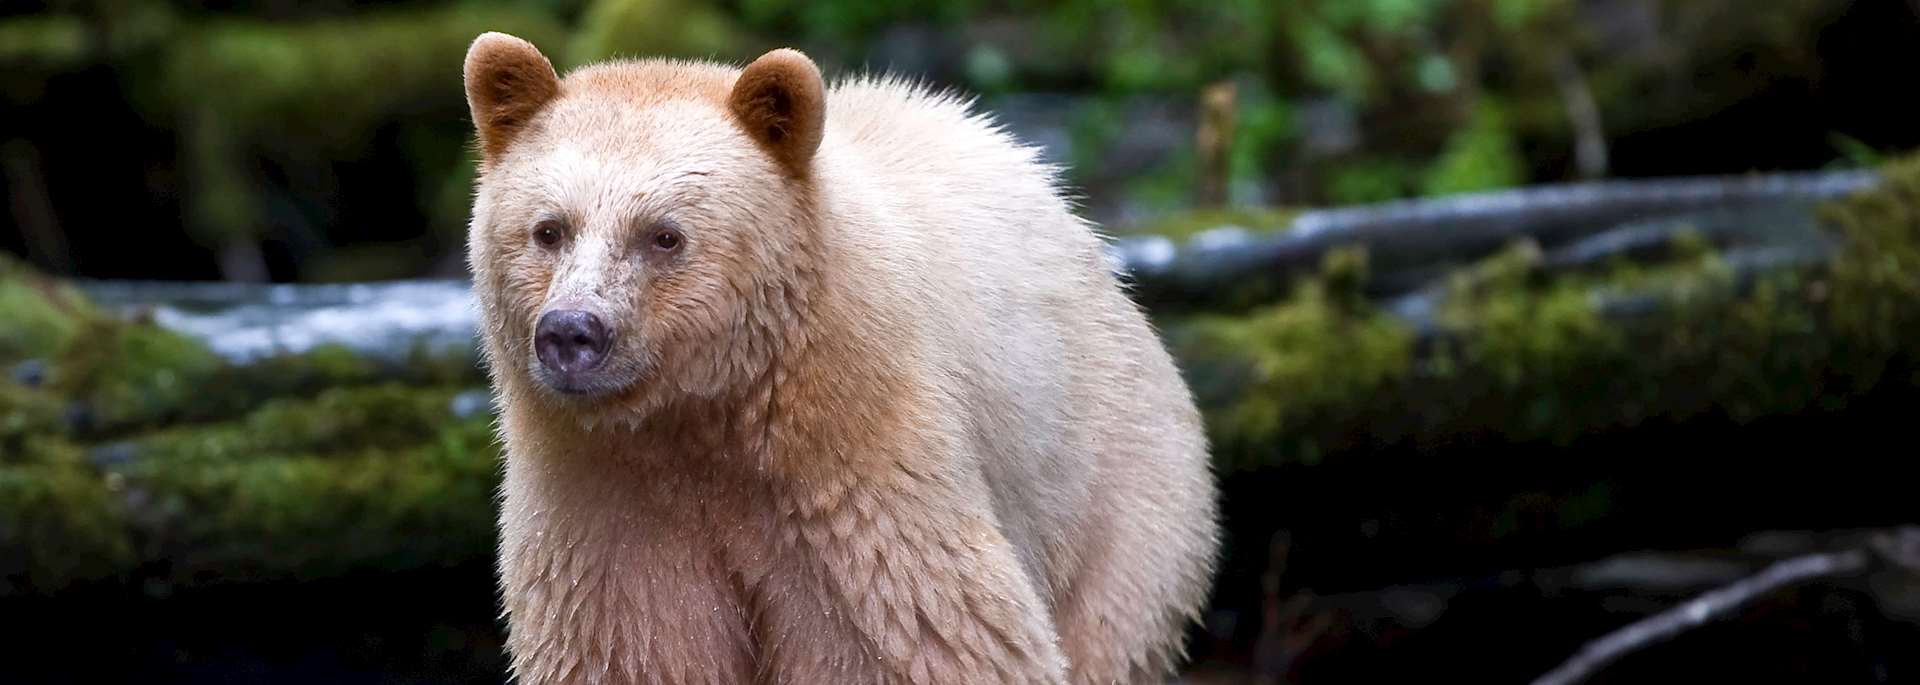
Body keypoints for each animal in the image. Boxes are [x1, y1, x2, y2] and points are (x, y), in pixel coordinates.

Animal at [461, 32, 1222, 685]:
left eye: (664, 234)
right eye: (548, 229)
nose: (572, 332)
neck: (706, 412)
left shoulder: (855, 460)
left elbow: (917, 634)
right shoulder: (603, 497)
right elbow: (626, 644)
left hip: (1122, 491)